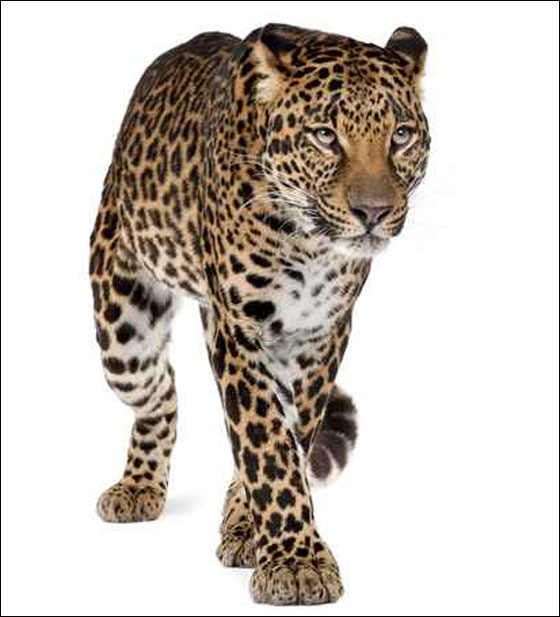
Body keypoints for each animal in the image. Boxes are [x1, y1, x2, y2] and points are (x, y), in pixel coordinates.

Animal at [89, 23, 430, 605]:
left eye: (401, 134)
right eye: (324, 136)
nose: (374, 212)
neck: (310, 245)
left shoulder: (321, 333)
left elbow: (291, 433)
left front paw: (252, 530)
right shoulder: (239, 329)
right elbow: (266, 442)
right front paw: (297, 563)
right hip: (122, 331)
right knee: (161, 397)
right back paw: (138, 486)